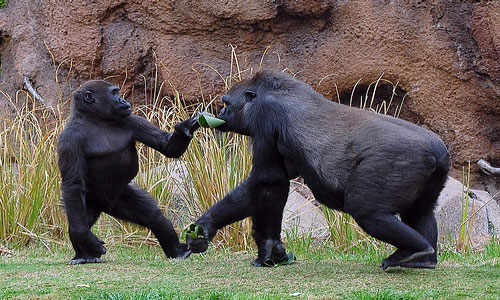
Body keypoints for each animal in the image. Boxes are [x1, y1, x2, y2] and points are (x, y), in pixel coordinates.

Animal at [58, 80, 199, 264]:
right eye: (114, 93)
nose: (123, 100)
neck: (95, 120)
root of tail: (105, 206)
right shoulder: (68, 140)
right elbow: (73, 184)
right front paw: (84, 238)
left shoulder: (131, 119)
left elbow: (166, 146)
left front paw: (186, 127)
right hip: (89, 201)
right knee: (79, 219)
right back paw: (84, 254)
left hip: (118, 196)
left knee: (153, 216)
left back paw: (176, 250)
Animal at [188, 69, 454, 270]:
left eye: (227, 103)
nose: (221, 113)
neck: (272, 92)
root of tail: (438, 151)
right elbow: (263, 186)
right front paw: (206, 225)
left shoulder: (265, 115)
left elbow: (268, 183)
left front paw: (268, 250)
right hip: (437, 173)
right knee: (420, 212)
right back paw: (423, 259)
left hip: (398, 162)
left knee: (368, 212)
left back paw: (415, 251)